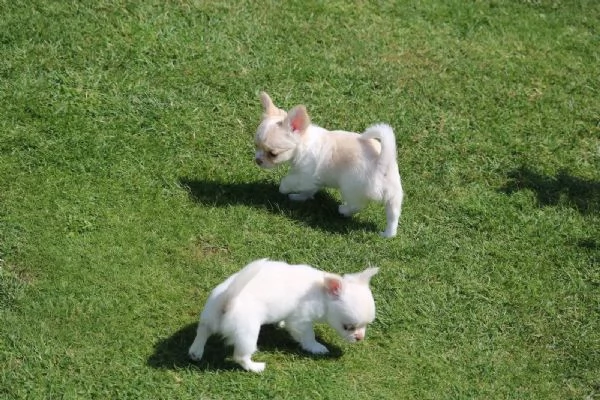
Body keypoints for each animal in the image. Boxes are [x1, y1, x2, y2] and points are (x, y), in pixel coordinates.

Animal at [188, 260, 378, 372]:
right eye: (348, 327)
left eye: (366, 325)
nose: (360, 338)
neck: (321, 291)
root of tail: (228, 302)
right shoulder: (301, 321)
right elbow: (308, 337)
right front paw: (317, 348)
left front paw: (279, 324)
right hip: (247, 334)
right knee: (240, 356)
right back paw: (256, 367)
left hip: (209, 315)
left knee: (202, 332)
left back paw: (196, 352)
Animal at [253, 93, 404, 238]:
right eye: (256, 146)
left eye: (273, 154)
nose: (258, 160)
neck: (303, 142)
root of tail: (381, 162)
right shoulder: (311, 181)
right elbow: (308, 190)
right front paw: (299, 197)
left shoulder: (304, 176)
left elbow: (287, 181)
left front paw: (283, 190)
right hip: (394, 195)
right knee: (393, 215)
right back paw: (388, 234)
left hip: (350, 189)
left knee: (357, 205)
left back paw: (344, 210)